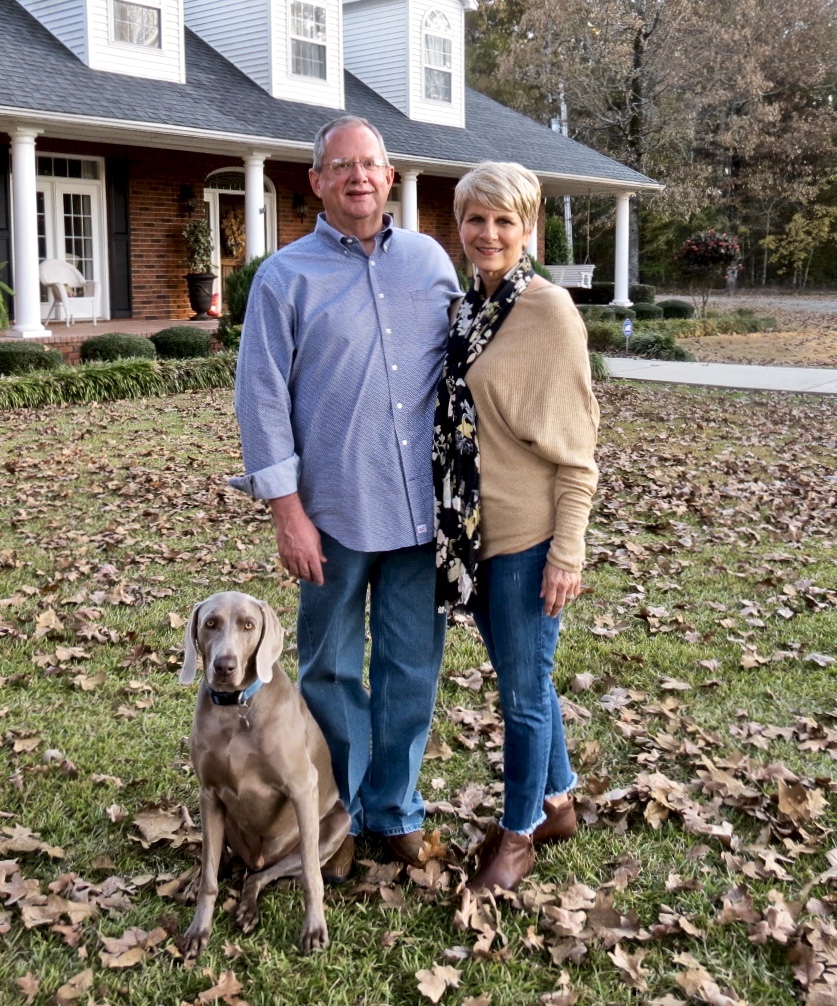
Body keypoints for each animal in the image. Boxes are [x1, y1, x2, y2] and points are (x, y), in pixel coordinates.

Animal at [177, 587, 350, 957]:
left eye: (248, 624)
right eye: (210, 623)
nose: (224, 666)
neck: (237, 708)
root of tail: (256, 859)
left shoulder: (302, 788)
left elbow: (312, 876)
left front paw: (314, 928)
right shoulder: (209, 793)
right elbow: (209, 879)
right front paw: (199, 929)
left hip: (335, 824)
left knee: (267, 874)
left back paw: (250, 904)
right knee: (228, 863)